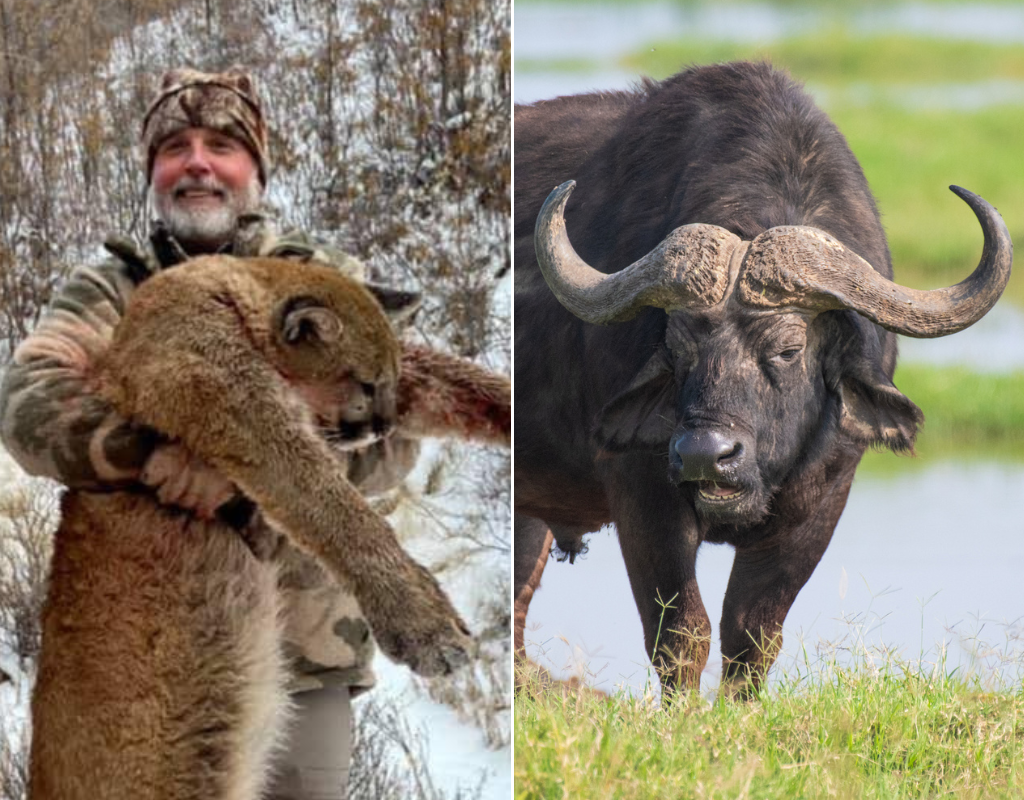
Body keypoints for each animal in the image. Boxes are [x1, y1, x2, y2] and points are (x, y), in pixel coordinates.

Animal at [513, 61, 1012, 695]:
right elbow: (680, 633)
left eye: (789, 348)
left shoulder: (823, 499)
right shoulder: (641, 491)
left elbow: (752, 631)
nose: (705, 454)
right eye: (677, 346)